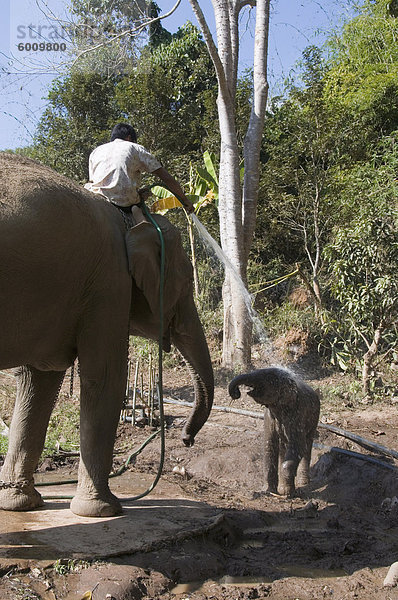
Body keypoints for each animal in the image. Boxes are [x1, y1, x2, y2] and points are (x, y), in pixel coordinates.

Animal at [0, 152, 215, 516]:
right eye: (187, 281)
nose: (187, 440)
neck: (132, 220)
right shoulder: (109, 284)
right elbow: (105, 379)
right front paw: (102, 511)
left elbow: (38, 380)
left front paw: (19, 505)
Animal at [229, 366, 318, 496]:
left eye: (269, 378)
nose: (237, 393)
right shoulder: (269, 416)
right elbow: (269, 445)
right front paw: (269, 491)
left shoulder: (298, 414)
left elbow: (298, 446)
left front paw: (287, 493)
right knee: (284, 447)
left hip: (314, 419)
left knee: (307, 446)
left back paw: (303, 483)